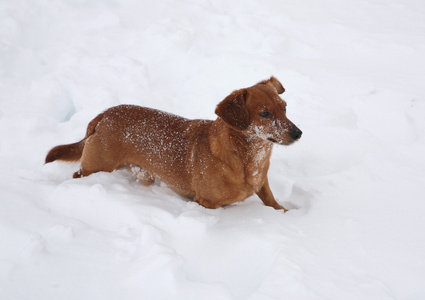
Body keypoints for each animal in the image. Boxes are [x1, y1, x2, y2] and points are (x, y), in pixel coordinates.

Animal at [44, 77, 300, 211]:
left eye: (285, 108)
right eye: (264, 114)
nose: (298, 133)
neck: (249, 157)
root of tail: (103, 115)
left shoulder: (263, 184)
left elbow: (272, 201)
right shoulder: (207, 203)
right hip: (95, 167)